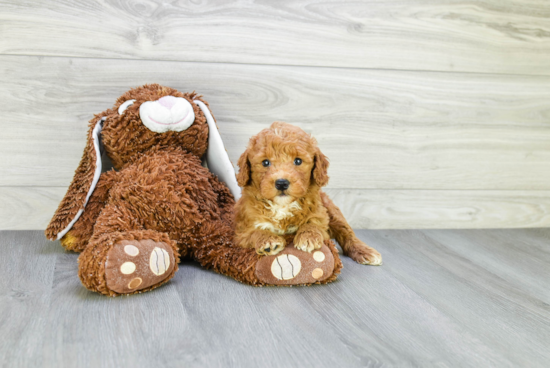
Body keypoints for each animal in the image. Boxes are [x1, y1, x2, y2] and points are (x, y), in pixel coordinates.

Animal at [236, 122, 384, 266]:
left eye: (298, 161)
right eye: (265, 162)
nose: (282, 183)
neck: (283, 206)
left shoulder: (320, 213)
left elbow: (314, 222)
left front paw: (308, 237)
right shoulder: (242, 229)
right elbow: (254, 232)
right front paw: (268, 241)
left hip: (332, 211)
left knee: (347, 233)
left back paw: (365, 252)